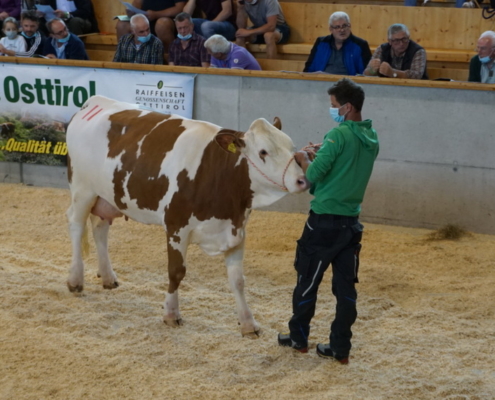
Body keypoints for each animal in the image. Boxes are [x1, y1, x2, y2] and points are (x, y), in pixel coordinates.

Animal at [64, 95, 308, 336]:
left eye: (292, 147)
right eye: (263, 152)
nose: (302, 180)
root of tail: (94, 101)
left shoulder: (236, 230)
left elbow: (238, 280)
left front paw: (248, 323)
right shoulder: (176, 227)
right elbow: (176, 272)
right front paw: (171, 314)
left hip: (106, 195)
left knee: (100, 228)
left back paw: (108, 277)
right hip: (82, 189)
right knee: (76, 224)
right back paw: (75, 280)